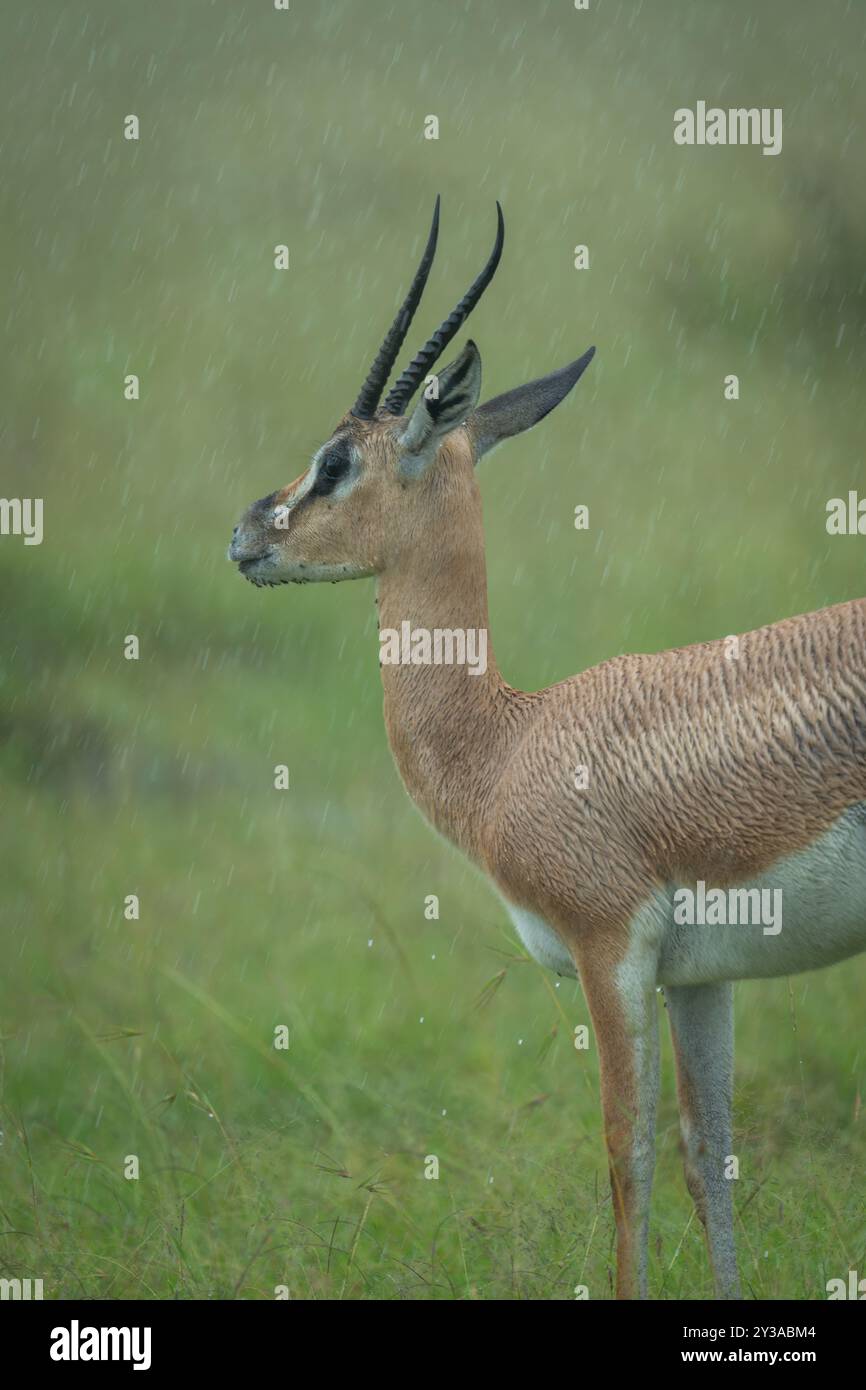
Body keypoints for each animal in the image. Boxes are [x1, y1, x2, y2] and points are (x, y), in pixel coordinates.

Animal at [229, 199, 866, 1299]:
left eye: (335, 462)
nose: (245, 535)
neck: (508, 740)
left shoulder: (609, 951)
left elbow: (628, 1155)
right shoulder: (701, 977)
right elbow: (710, 1153)